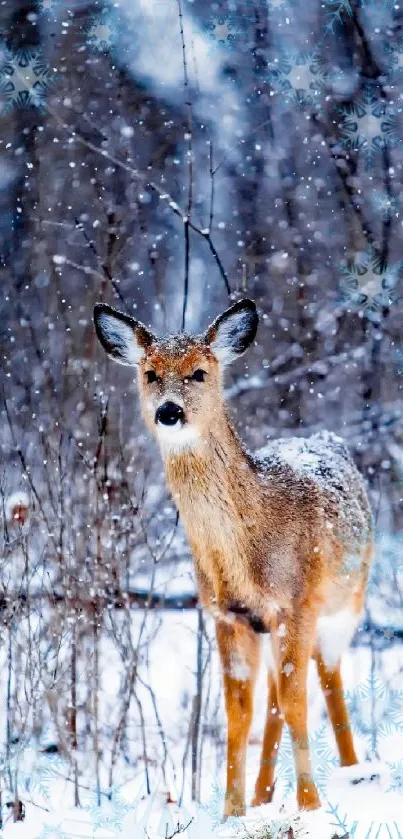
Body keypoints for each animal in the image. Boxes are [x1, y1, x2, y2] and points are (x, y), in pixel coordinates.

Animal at [93, 296, 374, 820]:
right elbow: (239, 713)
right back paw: (265, 794)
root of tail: (327, 438)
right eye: (150, 373)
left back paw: (353, 771)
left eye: (199, 373)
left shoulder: (297, 603)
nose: (168, 411)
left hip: (346, 603)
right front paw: (232, 813)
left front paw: (310, 807)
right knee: (274, 698)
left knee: (327, 679)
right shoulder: (228, 615)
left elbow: (297, 701)